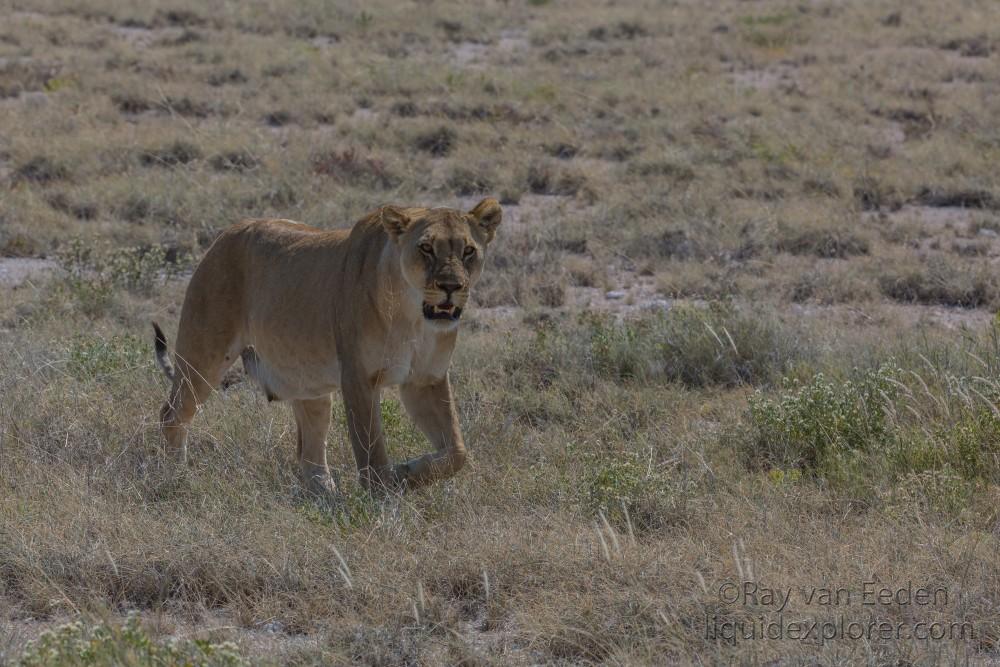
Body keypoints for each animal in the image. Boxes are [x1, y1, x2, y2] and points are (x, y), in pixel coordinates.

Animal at [152, 198, 504, 496]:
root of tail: (226, 233)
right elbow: (371, 449)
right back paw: (176, 476)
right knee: (172, 413)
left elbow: (457, 452)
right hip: (204, 354)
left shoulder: (425, 379)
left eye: (468, 250)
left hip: (308, 383)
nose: (450, 287)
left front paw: (406, 473)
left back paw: (325, 496)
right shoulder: (358, 377)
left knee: (308, 451)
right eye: (426, 248)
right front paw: (382, 498)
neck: (413, 315)